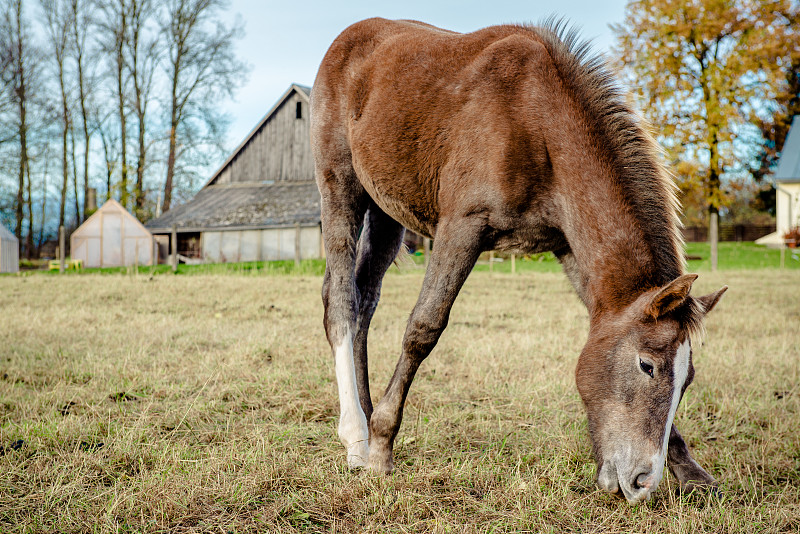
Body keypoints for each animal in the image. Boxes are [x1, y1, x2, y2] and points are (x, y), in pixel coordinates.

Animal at [310, 18, 728, 506]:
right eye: (647, 365)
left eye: (688, 379)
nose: (642, 481)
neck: (537, 121)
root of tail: (348, 38)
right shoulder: (462, 228)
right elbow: (423, 328)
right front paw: (381, 448)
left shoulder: (569, 249)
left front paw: (691, 472)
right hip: (341, 185)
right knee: (341, 300)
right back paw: (356, 436)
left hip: (386, 211)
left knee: (364, 299)